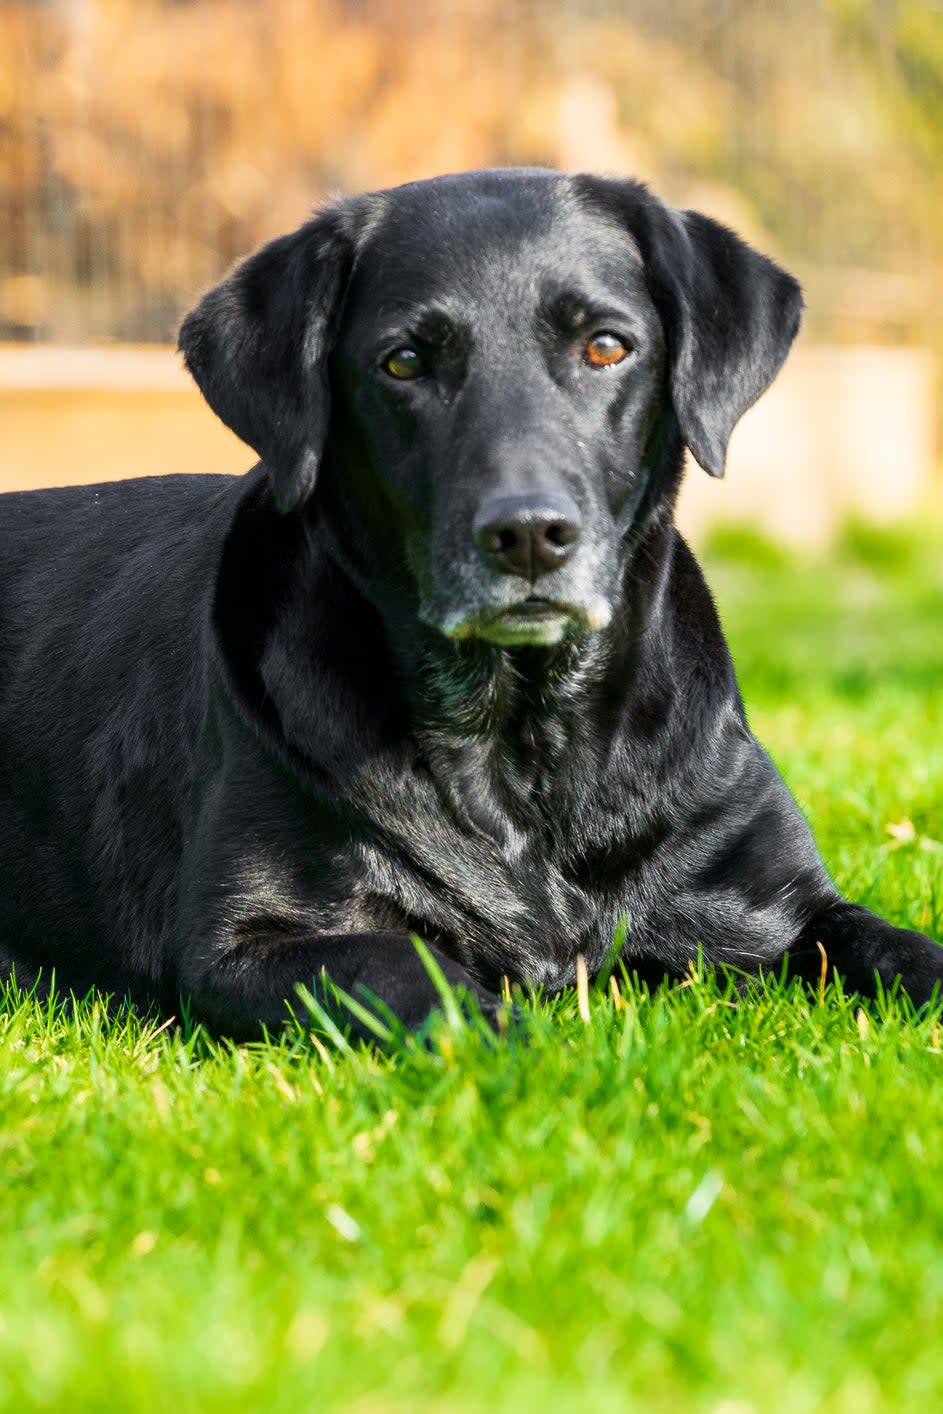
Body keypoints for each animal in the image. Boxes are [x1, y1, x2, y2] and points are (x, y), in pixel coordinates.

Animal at [1, 171, 943, 1040]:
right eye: (405, 362)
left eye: (606, 347)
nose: (527, 534)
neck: (524, 746)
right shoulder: (249, 943)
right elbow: (422, 976)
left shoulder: (780, 901)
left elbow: (897, 945)